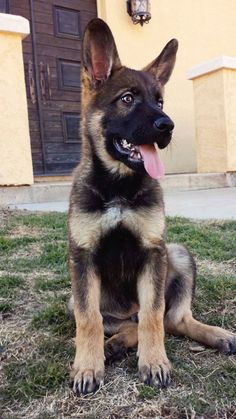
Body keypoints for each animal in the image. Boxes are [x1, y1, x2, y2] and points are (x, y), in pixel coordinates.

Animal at [67, 18, 235, 396]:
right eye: (127, 99)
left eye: (160, 101)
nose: (167, 126)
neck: (118, 186)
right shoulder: (82, 258)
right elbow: (89, 320)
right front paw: (87, 367)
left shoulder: (153, 252)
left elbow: (154, 314)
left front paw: (155, 361)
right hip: (76, 297)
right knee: (118, 323)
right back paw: (113, 345)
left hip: (178, 254)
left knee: (173, 319)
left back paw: (217, 335)